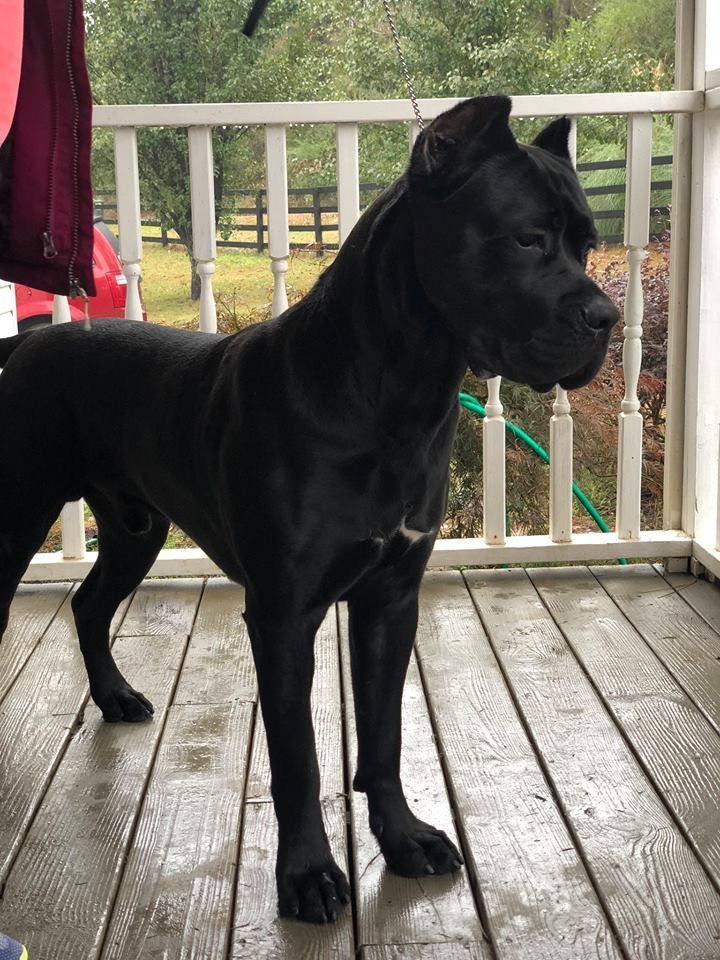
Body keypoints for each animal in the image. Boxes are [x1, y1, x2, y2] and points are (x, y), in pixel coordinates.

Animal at [1, 97, 620, 924]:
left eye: (587, 244)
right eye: (526, 238)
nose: (607, 317)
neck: (396, 394)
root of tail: (28, 343)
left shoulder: (390, 598)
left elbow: (384, 733)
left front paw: (403, 838)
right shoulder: (284, 613)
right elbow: (297, 757)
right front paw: (307, 875)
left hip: (136, 528)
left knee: (89, 602)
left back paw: (116, 695)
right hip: (17, 513)